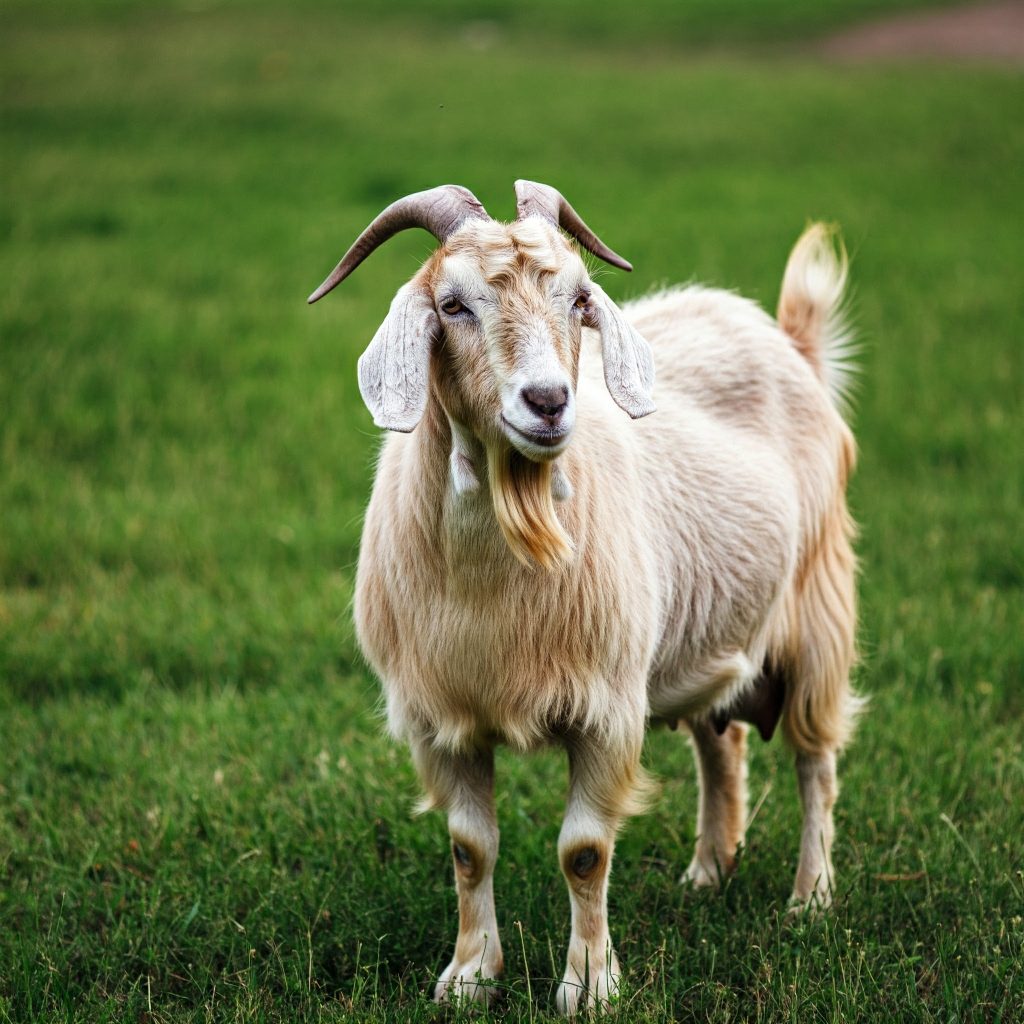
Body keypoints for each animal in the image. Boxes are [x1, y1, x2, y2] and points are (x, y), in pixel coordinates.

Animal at [307, 180, 860, 1011]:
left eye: (577, 298)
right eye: (453, 305)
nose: (547, 401)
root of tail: (787, 340)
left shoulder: (606, 707)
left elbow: (584, 852)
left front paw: (592, 987)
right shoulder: (441, 720)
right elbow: (469, 849)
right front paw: (470, 976)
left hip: (817, 613)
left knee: (814, 761)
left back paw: (810, 900)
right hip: (707, 634)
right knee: (720, 742)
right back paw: (708, 871)